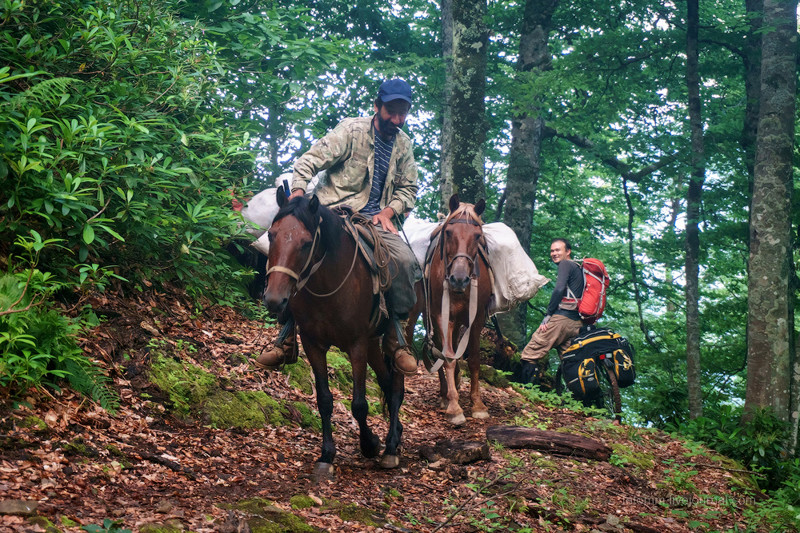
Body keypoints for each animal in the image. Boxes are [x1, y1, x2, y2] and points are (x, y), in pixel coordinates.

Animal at [262, 190, 404, 474]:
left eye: (306, 243)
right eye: (271, 235)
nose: (274, 299)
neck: (327, 285)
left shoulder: (357, 344)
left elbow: (359, 404)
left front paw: (370, 444)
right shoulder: (312, 343)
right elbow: (325, 400)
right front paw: (327, 454)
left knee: (396, 385)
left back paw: (391, 448)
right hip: (373, 342)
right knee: (386, 381)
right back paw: (396, 435)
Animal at [412, 194, 494, 424]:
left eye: (478, 236)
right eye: (448, 232)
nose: (459, 279)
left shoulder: (477, 318)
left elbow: (473, 358)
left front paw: (477, 404)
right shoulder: (441, 315)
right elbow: (447, 356)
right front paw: (454, 407)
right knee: (439, 349)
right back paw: (444, 395)